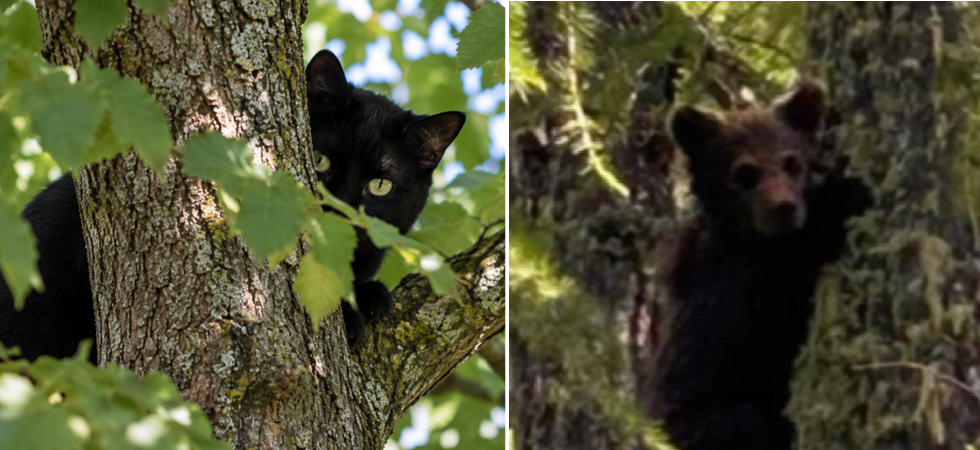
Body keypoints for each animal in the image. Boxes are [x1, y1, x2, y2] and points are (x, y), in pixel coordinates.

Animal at [648, 80, 871, 450]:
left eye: (792, 163)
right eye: (744, 174)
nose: (784, 208)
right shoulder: (738, 284)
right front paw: (848, 194)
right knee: (754, 423)